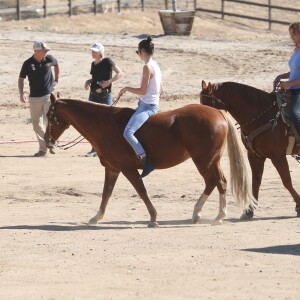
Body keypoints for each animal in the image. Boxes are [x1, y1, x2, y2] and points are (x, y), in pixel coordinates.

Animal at [45, 92, 255, 226]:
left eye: (49, 115)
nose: (48, 141)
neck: (104, 124)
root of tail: (217, 112)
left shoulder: (128, 169)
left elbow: (142, 191)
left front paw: (153, 218)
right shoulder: (112, 169)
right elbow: (106, 193)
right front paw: (96, 217)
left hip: (204, 161)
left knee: (215, 181)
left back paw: (211, 214)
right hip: (212, 160)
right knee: (218, 182)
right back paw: (207, 214)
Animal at [199, 81, 300, 219]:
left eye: (208, 104)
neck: (263, 116)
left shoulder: (278, 156)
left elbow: (287, 181)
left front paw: (299, 206)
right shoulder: (255, 156)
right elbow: (255, 182)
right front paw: (249, 210)